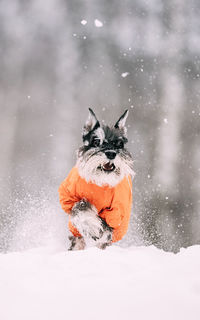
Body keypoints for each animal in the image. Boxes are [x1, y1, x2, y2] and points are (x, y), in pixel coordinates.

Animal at [58, 109, 134, 250]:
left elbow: (107, 229)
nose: (111, 153)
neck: (101, 182)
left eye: (119, 144)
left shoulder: (116, 213)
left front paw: (100, 237)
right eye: (96, 142)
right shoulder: (69, 198)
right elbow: (80, 207)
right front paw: (91, 226)